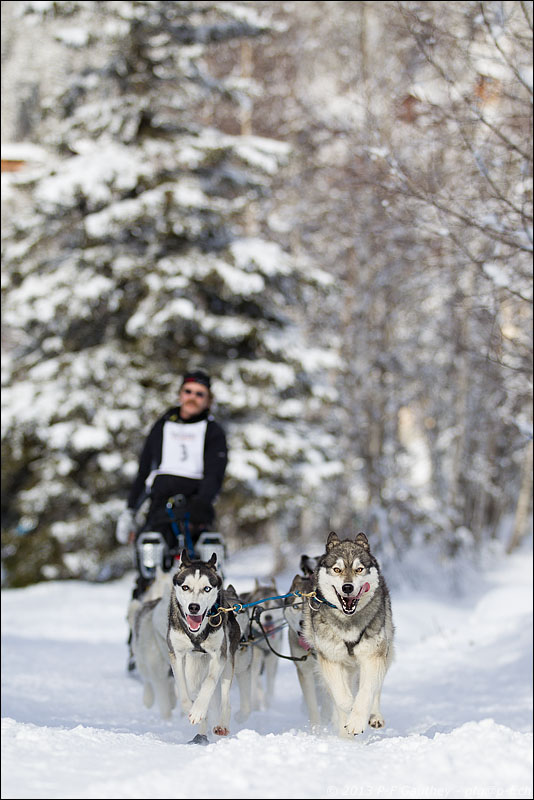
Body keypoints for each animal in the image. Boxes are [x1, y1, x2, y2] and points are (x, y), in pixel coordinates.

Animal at [167, 550, 241, 742]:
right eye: (185, 587)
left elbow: (209, 682)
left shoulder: (219, 655)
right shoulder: (176, 654)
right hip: (193, 670)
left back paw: (221, 725)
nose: (194, 607)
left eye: (207, 588)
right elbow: (182, 687)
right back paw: (200, 733)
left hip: (228, 664)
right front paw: (190, 708)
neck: (197, 634)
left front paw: (198, 709)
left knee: (224, 699)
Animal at [302, 531, 394, 737]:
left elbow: (366, 692)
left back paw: (374, 716)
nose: (347, 588)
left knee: (376, 687)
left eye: (359, 569)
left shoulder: (372, 657)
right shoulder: (330, 660)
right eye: (337, 569)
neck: (348, 621)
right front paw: (349, 712)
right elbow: (342, 696)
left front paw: (357, 720)